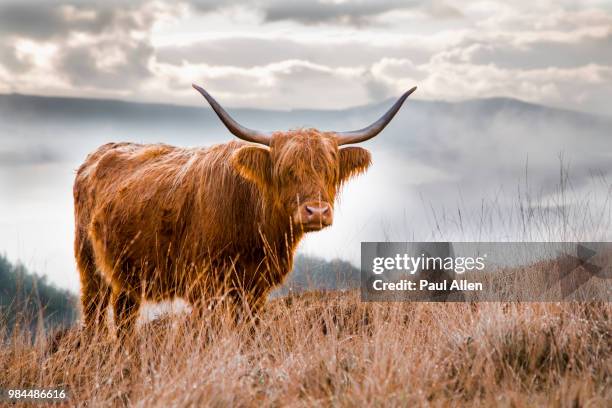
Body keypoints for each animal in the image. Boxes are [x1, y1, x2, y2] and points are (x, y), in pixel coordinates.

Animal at [73, 83, 416, 334]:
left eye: (329, 171)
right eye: (286, 171)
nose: (316, 212)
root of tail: (96, 155)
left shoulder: (255, 290)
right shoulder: (205, 286)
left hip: (126, 275)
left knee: (125, 316)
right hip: (90, 266)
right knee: (95, 314)